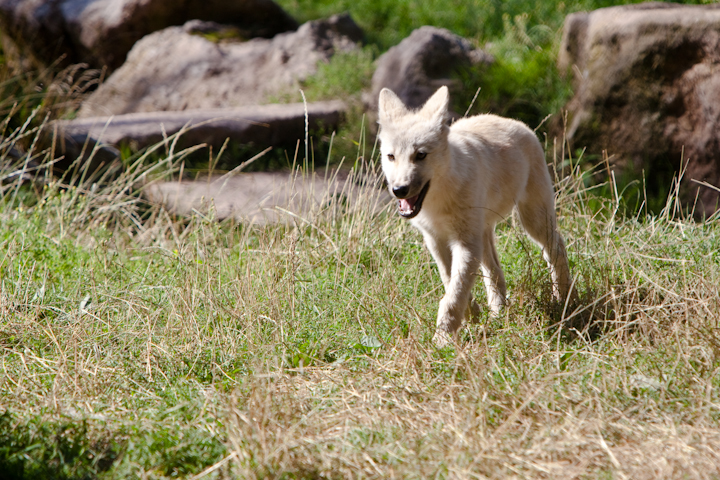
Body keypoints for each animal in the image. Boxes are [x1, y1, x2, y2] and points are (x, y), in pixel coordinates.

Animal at [377, 86, 572, 345]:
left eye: (420, 155)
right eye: (391, 157)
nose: (399, 189)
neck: (438, 202)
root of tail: (515, 122)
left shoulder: (466, 243)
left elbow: (454, 294)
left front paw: (442, 340)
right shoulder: (436, 241)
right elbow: (451, 282)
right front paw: (472, 316)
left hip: (533, 221)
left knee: (556, 248)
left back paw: (563, 299)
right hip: (485, 233)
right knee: (496, 271)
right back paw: (499, 313)